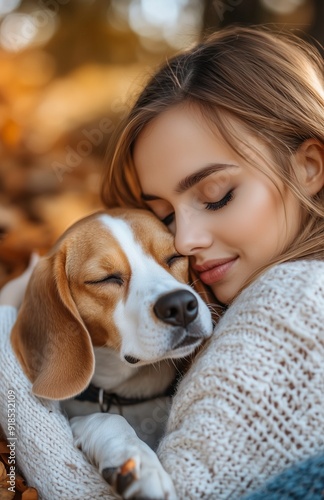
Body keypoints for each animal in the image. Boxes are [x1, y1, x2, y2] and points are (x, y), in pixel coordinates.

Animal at [11, 208, 213, 500]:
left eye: (174, 257)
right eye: (105, 279)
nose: (179, 305)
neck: (124, 388)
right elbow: (109, 419)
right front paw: (138, 465)